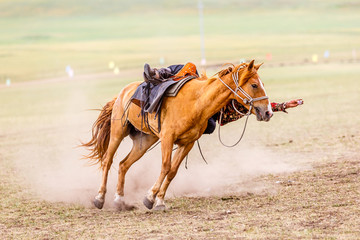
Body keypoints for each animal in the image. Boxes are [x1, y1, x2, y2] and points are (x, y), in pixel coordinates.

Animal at [81, 60, 272, 210]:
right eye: (254, 85)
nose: (268, 112)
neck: (197, 102)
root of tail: (122, 93)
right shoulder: (167, 138)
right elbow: (165, 167)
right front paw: (150, 197)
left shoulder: (187, 143)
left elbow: (173, 171)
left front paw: (159, 201)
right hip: (117, 133)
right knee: (108, 161)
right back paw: (99, 198)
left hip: (144, 141)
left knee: (123, 165)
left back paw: (119, 201)